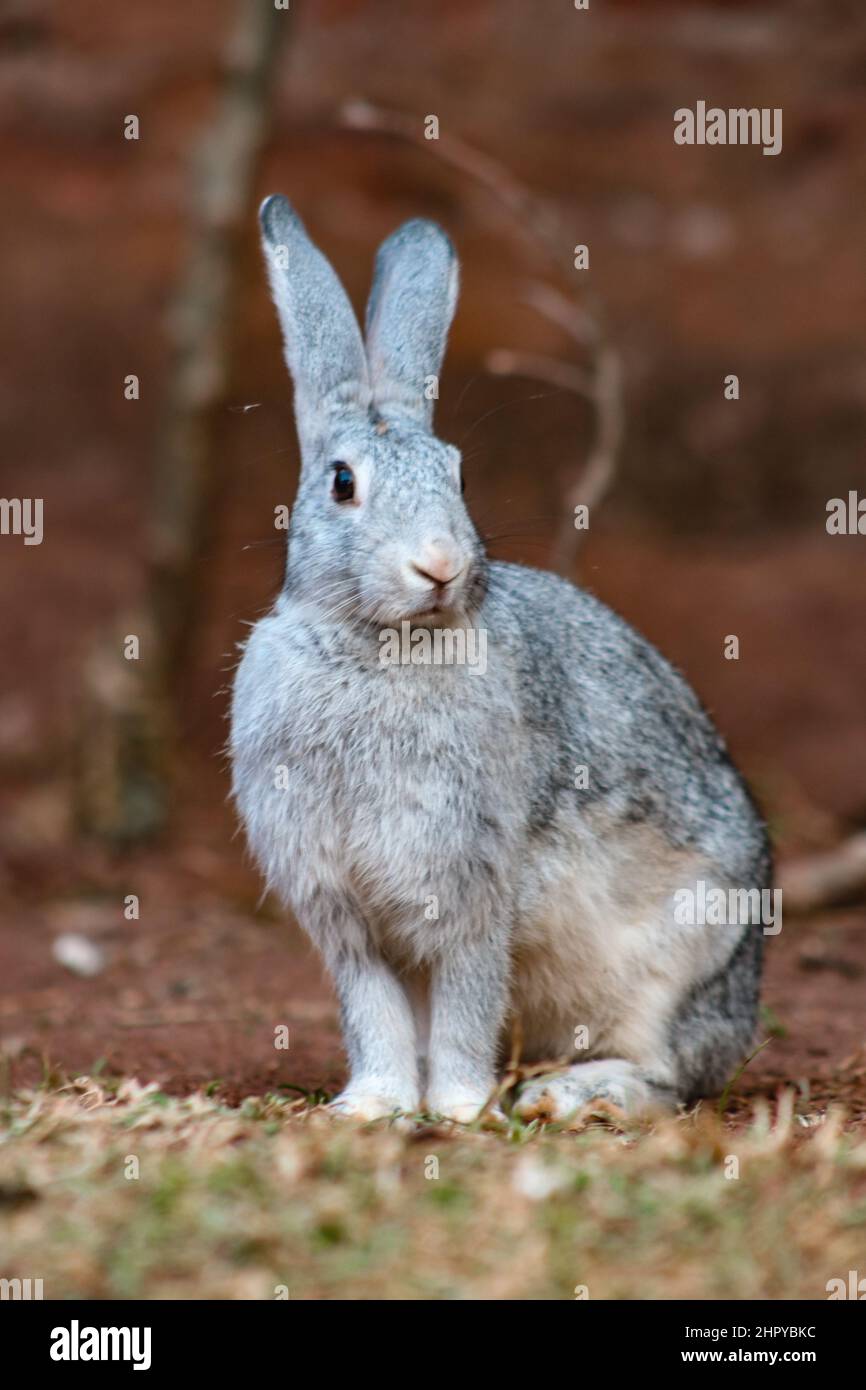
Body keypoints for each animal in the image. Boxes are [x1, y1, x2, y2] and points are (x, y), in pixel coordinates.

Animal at [230, 194, 772, 1123]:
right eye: (342, 483)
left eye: (459, 476)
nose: (440, 563)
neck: (380, 646)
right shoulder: (343, 912)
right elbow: (374, 1014)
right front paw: (372, 1107)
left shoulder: (479, 885)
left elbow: (465, 1003)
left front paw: (454, 1108)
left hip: (684, 954)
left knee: (671, 1077)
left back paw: (571, 1094)